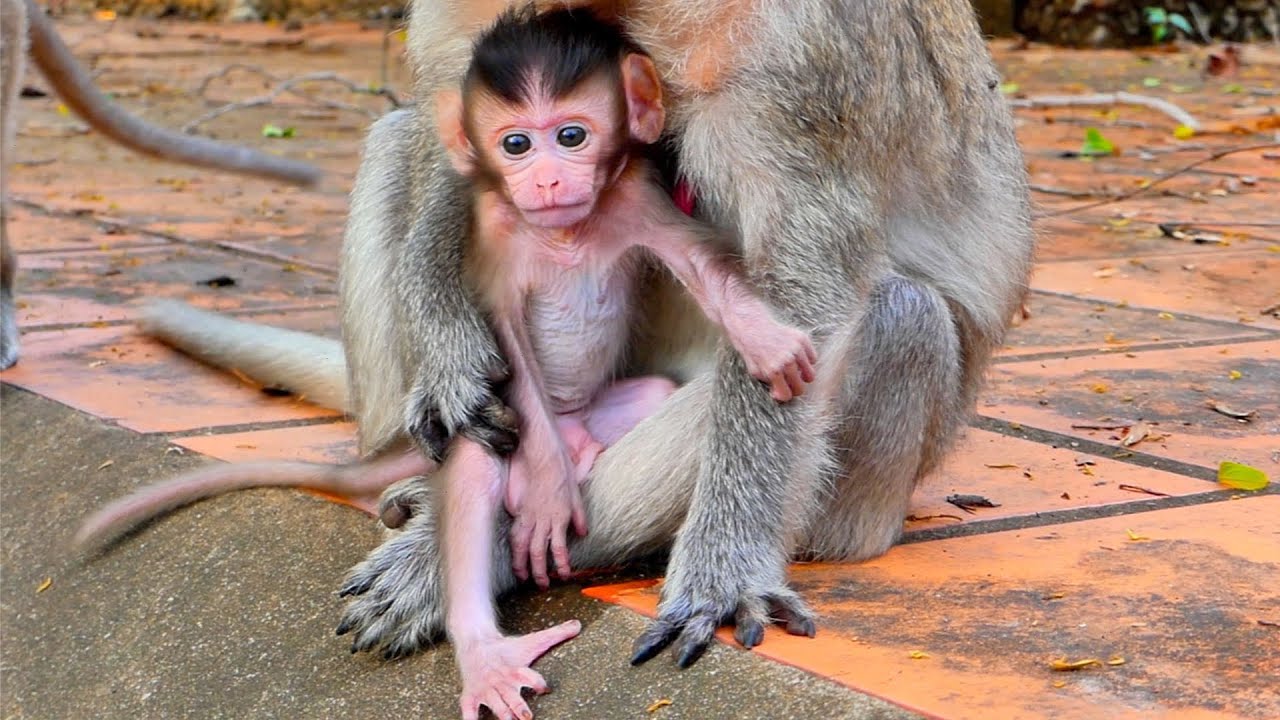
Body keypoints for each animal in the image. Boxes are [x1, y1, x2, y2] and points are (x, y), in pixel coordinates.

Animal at [93, 0, 1034, 704]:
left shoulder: (795, 50)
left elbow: (802, 286)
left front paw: (721, 571)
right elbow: (448, 129)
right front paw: (450, 359)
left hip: (866, 496)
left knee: (896, 317)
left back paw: (474, 553)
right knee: (397, 137)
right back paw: (415, 482)